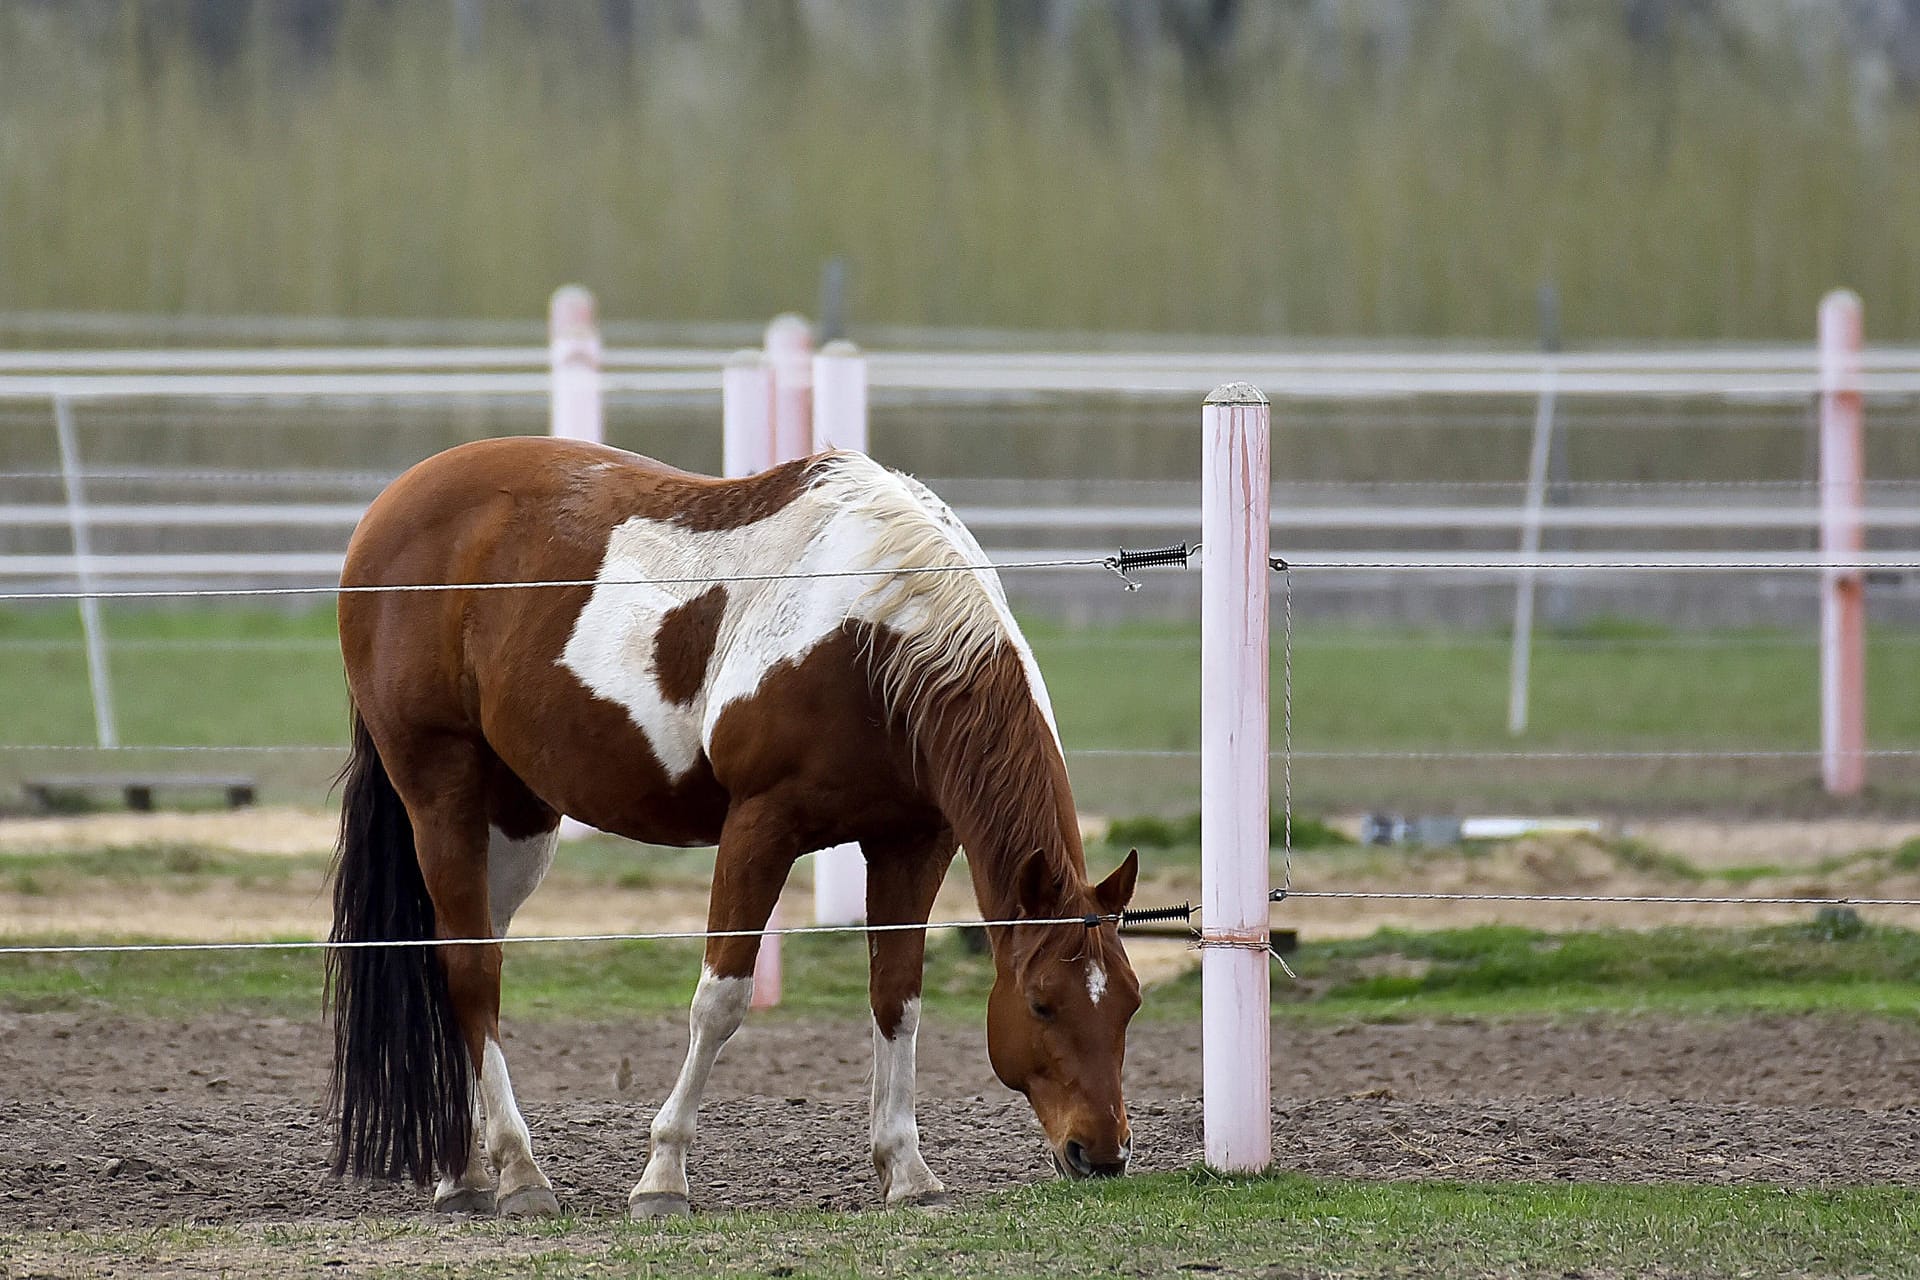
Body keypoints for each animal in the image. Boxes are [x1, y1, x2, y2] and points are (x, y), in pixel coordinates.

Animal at [328, 435, 1136, 1220]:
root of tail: (390, 508)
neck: (872, 637)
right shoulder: (761, 826)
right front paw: (662, 1178)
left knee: (468, 962)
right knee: (471, 970)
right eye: (1041, 1003)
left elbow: (897, 998)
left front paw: (907, 1170)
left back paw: (463, 1172)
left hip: (518, 818)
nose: (1101, 1155)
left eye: (1128, 1002)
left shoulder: (914, 842)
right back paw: (518, 1172)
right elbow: (720, 1001)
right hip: (442, 794)